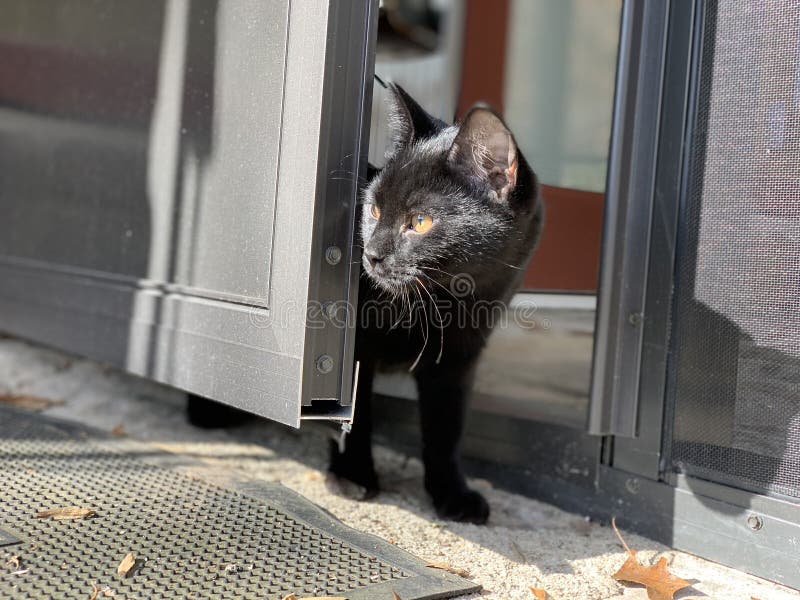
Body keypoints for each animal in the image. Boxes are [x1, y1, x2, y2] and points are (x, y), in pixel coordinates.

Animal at [326, 85, 544, 524]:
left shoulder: (458, 360)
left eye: (421, 221)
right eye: (373, 209)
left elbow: (446, 429)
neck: (441, 303)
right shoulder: (354, 350)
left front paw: (452, 493)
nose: (371, 254)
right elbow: (355, 414)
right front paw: (353, 474)